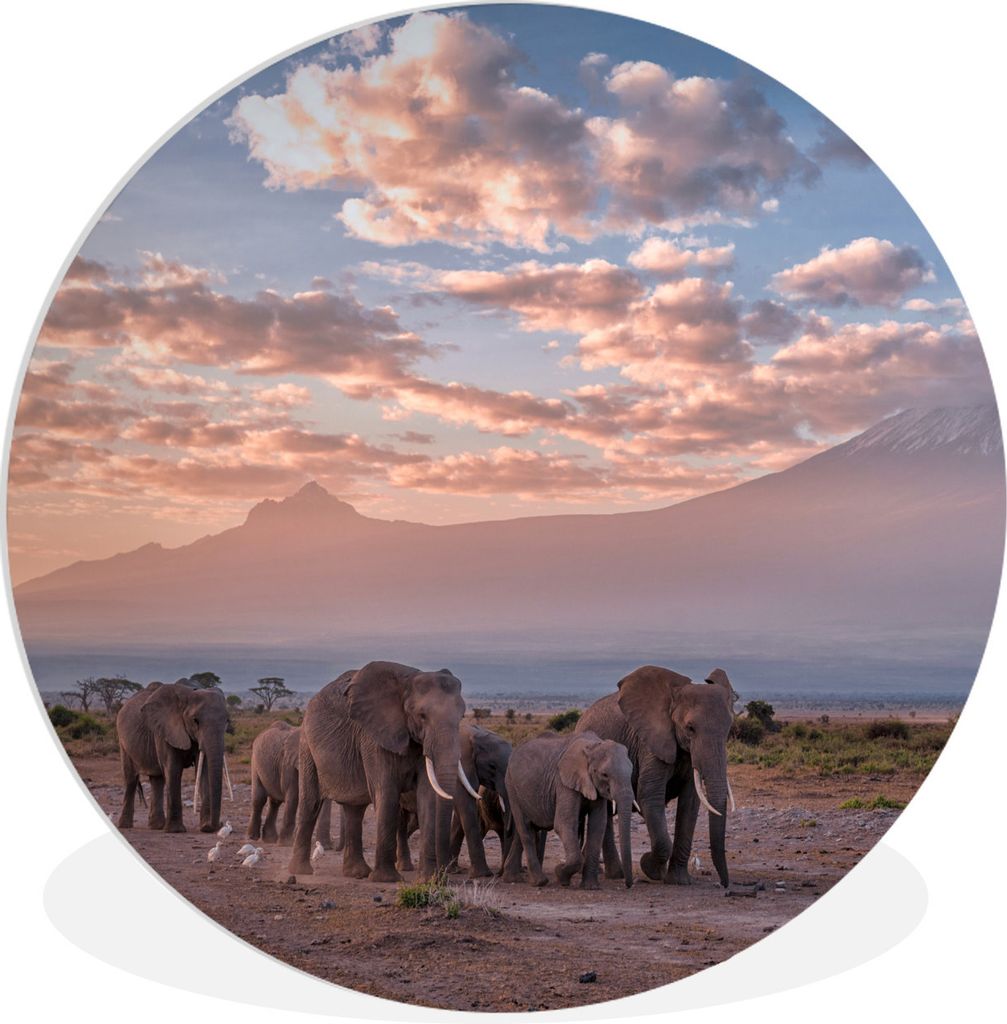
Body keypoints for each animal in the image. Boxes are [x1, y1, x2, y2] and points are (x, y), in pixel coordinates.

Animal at [116, 681, 230, 833]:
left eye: (227, 721)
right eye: (195, 720)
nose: (217, 825)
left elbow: (204, 770)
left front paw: (206, 827)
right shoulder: (165, 730)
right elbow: (173, 769)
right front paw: (176, 830)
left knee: (157, 780)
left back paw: (157, 826)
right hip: (123, 742)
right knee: (131, 779)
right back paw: (125, 826)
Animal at [287, 661, 468, 882]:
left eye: (462, 717)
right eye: (422, 716)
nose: (442, 876)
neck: (408, 681)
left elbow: (427, 795)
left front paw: (427, 880)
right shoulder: (374, 737)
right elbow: (387, 792)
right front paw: (387, 879)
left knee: (354, 809)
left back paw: (357, 873)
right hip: (307, 746)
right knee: (311, 802)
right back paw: (300, 871)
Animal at [501, 730, 634, 890]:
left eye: (632, 772)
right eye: (604, 775)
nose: (628, 885)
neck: (593, 746)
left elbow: (598, 826)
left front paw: (590, 887)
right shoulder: (563, 782)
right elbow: (564, 823)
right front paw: (561, 875)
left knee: (523, 832)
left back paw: (512, 879)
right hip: (511, 787)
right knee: (525, 830)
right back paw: (539, 882)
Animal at [577, 665, 737, 888]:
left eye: (728, 729)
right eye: (690, 728)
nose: (724, 884)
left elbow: (690, 803)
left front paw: (678, 881)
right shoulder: (650, 742)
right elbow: (650, 796)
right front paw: (651, 868)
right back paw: (616, 874)